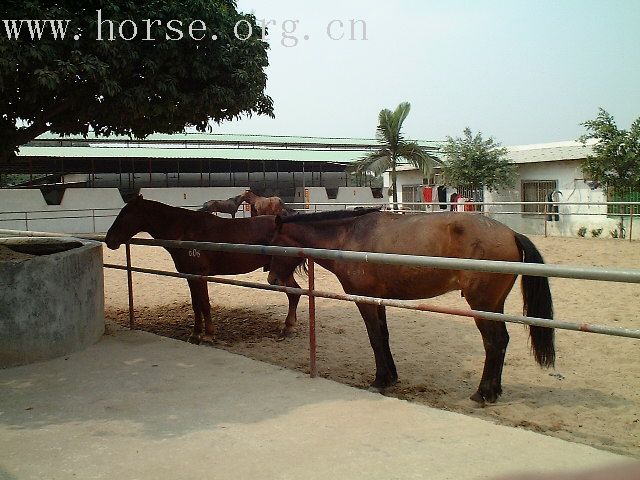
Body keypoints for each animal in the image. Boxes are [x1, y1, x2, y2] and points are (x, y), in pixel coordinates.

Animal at [105, 195, 302, 342]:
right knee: (295, 293)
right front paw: (196, 333)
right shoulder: (190, 276)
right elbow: (196, 304)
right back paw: (288, 326)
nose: (109, 240)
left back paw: (288, 327)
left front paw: (208, 334)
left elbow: (205, 304)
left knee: (294, 293)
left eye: (125, 214)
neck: (185, 231)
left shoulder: (200, 275)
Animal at [264, 208, 556, 404]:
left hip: (482, 305)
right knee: (502, 341)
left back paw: (483, 393)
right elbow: (383, 336)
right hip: (494, 305)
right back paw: (494, 391)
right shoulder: (377, 300)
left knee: (493, 343)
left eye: (274, 244)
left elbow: (374, 337)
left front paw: (379, 380)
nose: (272, 279)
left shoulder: (364, 300)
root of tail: (511, 234)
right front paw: (391, 376)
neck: (347, 237)